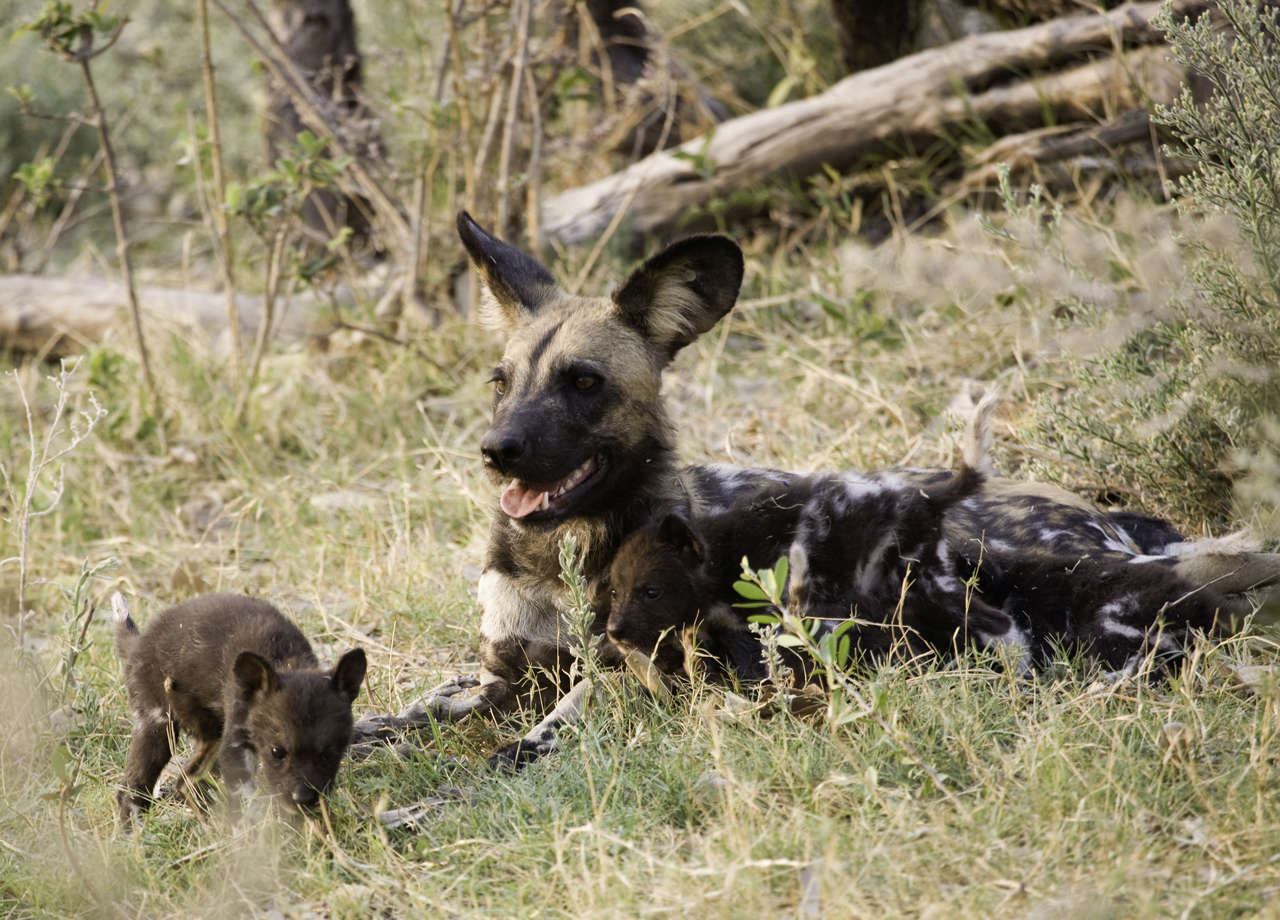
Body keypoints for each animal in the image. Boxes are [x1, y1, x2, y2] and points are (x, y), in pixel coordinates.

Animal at [113, 593, 366, 824]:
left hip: (210, 736)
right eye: (277, 751)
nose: (302, 798)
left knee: (185, 782)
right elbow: (244, 802)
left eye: (329, 752)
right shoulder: (235, 743)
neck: (285, 661)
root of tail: (139, 643)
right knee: (131, 790)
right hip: (157, 723)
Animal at [350, 213, 1280, 762]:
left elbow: (558, 714)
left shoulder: (629, 663)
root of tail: (1122, 524)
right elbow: (407, 711)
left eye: (583, 383)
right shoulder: (501, 676)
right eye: (500, 381)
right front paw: (354, 743)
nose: (497, 451)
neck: (568, 547)